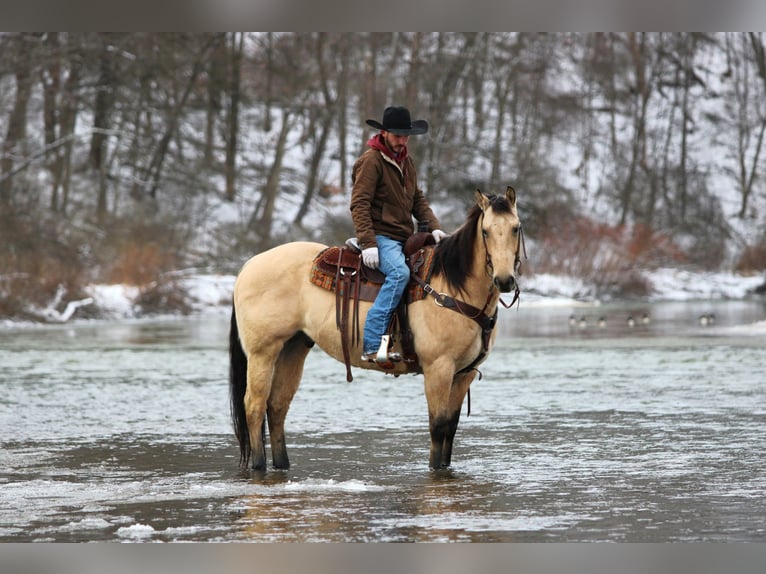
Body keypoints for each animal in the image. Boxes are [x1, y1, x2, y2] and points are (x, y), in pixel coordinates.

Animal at [229, 186, 523, 471]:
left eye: (516, 227)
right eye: (485, 231)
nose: (504, 280)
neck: (452, 286)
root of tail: (249, 265)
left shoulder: (464, 373)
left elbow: (450, 429)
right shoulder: (438, 368)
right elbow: (438, 427)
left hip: (294, 347)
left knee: (277, 406)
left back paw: (282, 466)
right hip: (263, 352)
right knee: (254, 406)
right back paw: (258, 466)